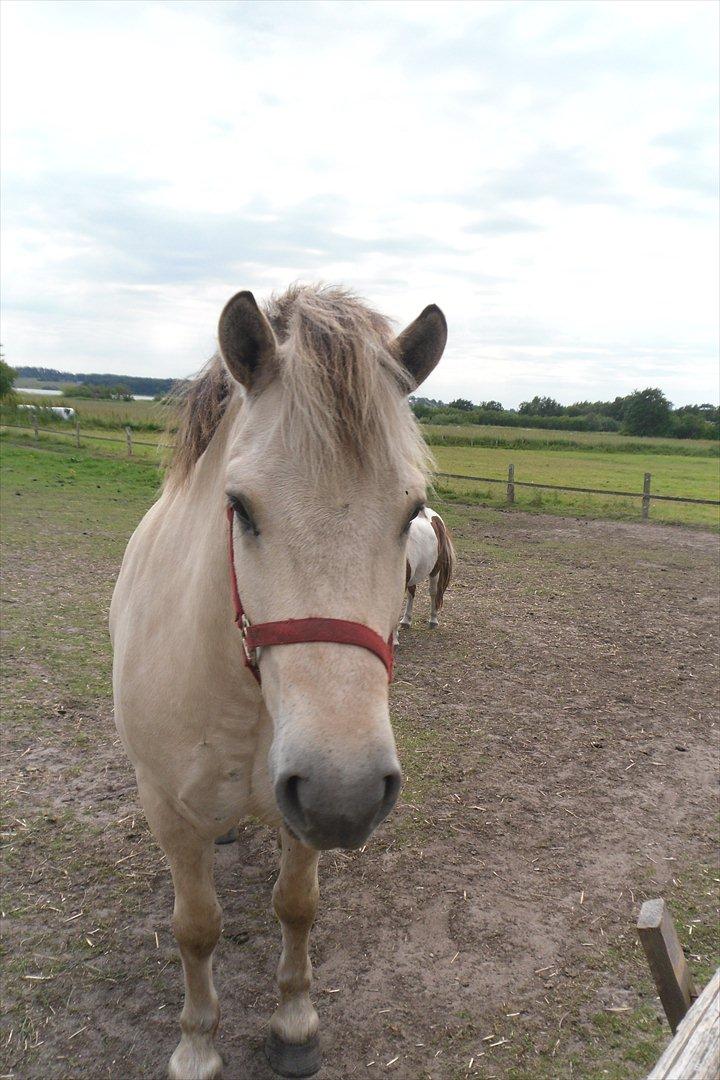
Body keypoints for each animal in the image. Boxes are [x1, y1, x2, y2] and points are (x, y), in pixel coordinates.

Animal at [108, 282, 444, 1075]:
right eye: (240, 509)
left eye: (413, 511)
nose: (346, 792)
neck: (242, 701)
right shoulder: (167, 810)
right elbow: (196, 927)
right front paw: (197, 1045)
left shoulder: (307, 811)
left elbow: (297, 907)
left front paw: (295, 1025)